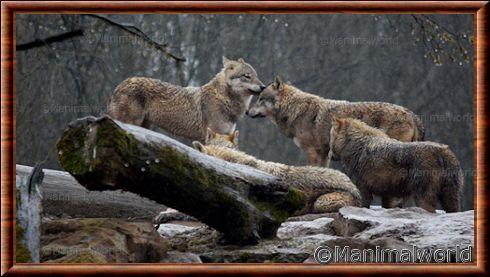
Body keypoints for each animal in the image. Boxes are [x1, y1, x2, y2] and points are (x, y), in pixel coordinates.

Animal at [109, 56, 266, 141]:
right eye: (247, 76)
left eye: (256, 76)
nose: (263, 86)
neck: (224, 99)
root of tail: (119, 85)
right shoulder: (212, 135)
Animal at [247, 76, 424, 166]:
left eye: (261, 99)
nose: (247, 112)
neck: (294, 110)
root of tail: (412, 114)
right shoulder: (324, 154)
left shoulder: (312, 151)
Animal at [328, 116, 462, 211]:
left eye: (331, 136)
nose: (330, 155)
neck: (356, 145)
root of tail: (443, 152)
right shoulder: (388, 193)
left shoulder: (362, 187)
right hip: (451, 195)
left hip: (422, 194)